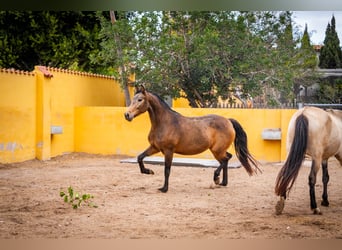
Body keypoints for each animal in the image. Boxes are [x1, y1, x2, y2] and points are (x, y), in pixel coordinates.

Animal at [124, 86, 260, 193]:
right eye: (133, 99)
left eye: (140, 99)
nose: (127, 115)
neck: (164, 122)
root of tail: (228, 121)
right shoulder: (155, 147)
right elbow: (140, 157)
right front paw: (148, 171)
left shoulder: (168, 151)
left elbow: (167, 170)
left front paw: (164, 188)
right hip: (218, 150)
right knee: (227, 158)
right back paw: (222, 182)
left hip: (216, 150)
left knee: (225, 160)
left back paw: (216, 179)